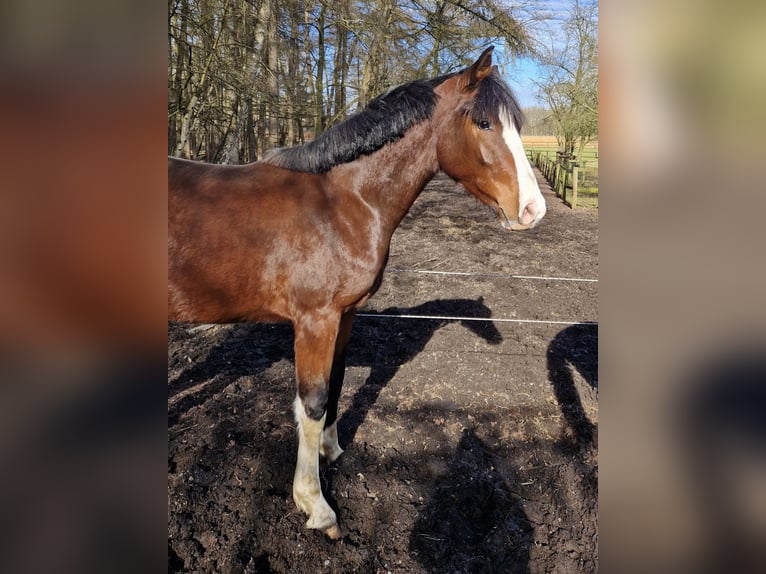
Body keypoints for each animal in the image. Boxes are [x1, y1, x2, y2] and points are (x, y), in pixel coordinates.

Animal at [168, 46, 546, 539]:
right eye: (483, 123)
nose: (534, 210)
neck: (343, 201)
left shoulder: (344, 316)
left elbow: (338, 380)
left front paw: (331, 452)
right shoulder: (315, 321)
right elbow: (312, 402)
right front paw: (315, 504)